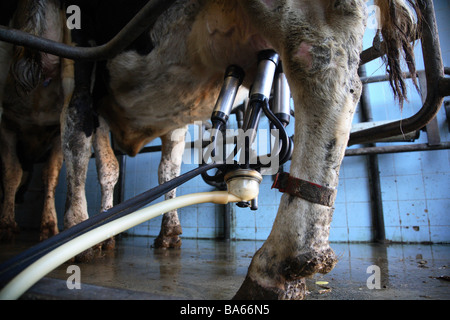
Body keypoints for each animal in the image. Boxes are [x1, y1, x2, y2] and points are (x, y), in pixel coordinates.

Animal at [58, 0, 420, 300]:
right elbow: (151, 167)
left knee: (322, 65)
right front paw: (145, 233)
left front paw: (77, 231)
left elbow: (76, 133)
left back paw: (276, 265)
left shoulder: (81, 40)